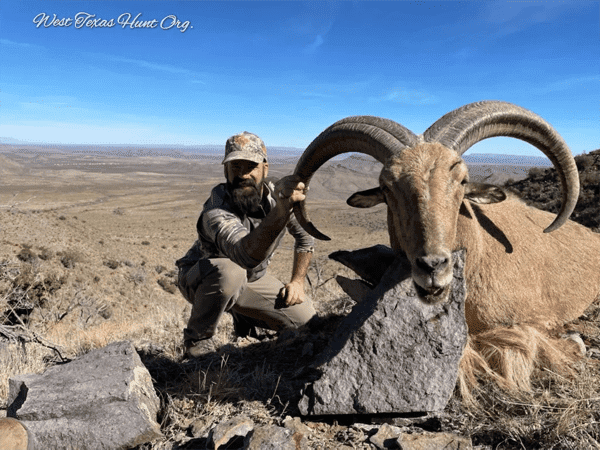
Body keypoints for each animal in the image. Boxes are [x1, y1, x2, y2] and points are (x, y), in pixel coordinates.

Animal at [292, 101, 600, 394]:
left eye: (462, 180)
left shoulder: (535, 321)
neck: (481, 257)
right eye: (387, 187)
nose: (432, 267)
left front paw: (574, 341)